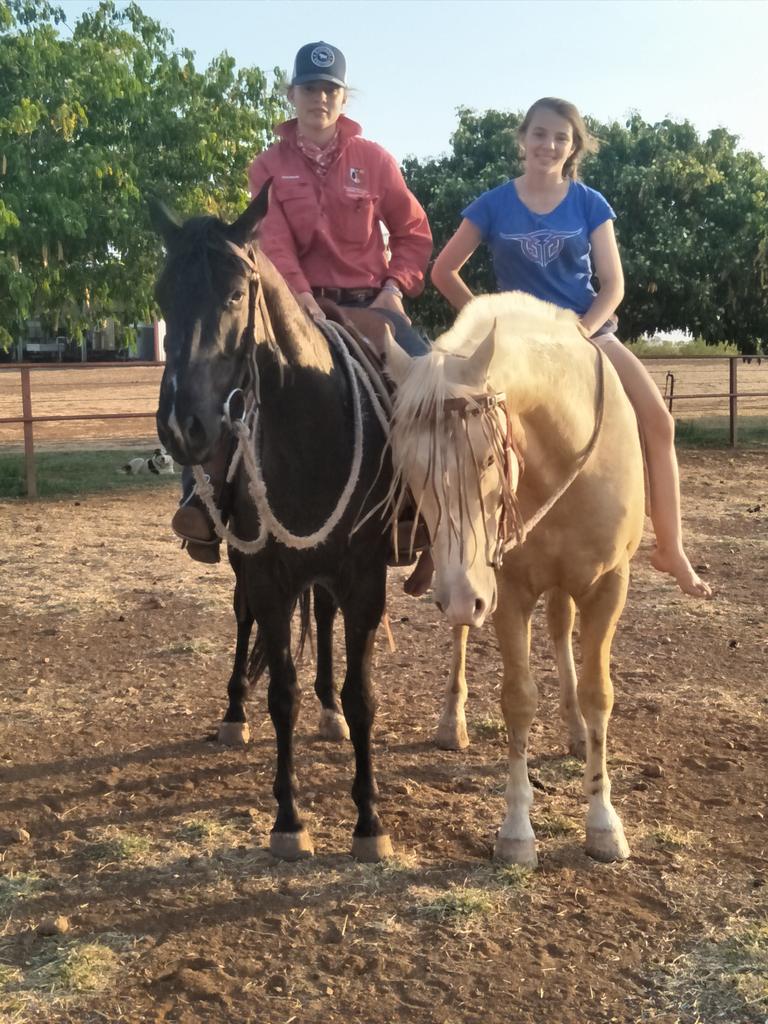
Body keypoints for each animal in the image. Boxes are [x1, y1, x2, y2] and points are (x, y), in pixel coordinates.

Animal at [387, 292, 647, 868]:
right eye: (410, 471)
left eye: (488, 458)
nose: (460, 598)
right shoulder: (506, 593)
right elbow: (519, 699)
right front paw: (517, 832)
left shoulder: (608, 587)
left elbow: (599, 693)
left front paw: (604, 824)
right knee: (465, 639)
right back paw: (452, 722)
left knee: (561, 633)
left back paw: (576, 733)